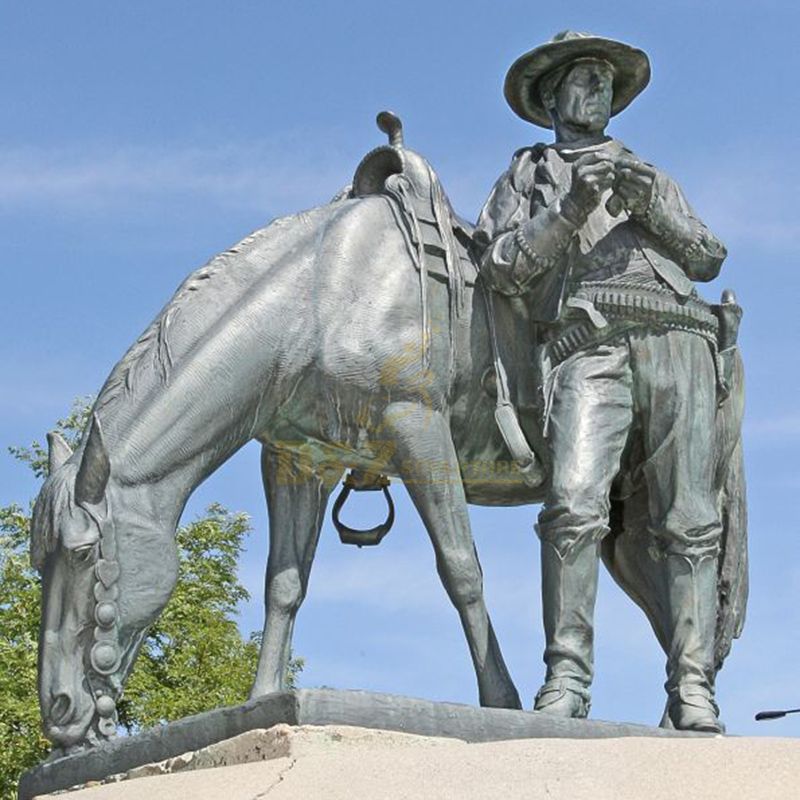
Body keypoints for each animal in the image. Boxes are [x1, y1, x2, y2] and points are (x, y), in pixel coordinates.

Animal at [29, 117, 744, 752]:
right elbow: (284, 585)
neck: (321, 297)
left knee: (686, 562)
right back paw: (682, 719)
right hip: (626, 517)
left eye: (87, 556)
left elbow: (461, 569)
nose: (59, 712)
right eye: (42, 562)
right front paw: (262, 698)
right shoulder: (298, 462)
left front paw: (502, 702)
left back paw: (687, 718)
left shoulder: (419, 431)